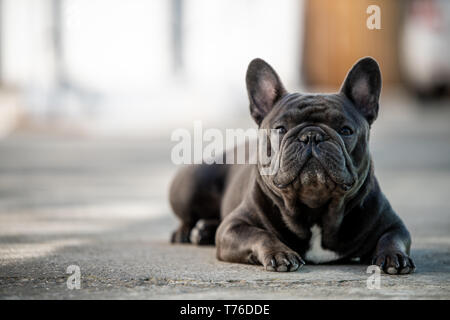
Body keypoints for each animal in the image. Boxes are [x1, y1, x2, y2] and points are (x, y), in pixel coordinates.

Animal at [169, 56, 414, 274]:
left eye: (346, 130)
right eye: (280, 129)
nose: (312, 135)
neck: (316, 210)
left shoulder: (393, 224)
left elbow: (392, 238)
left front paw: (395, 256)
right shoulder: (233, 227)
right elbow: (260, 234)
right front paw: (280, 253)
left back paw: (204, 230)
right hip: (192, 184)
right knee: (188, 217)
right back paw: (186, 232)